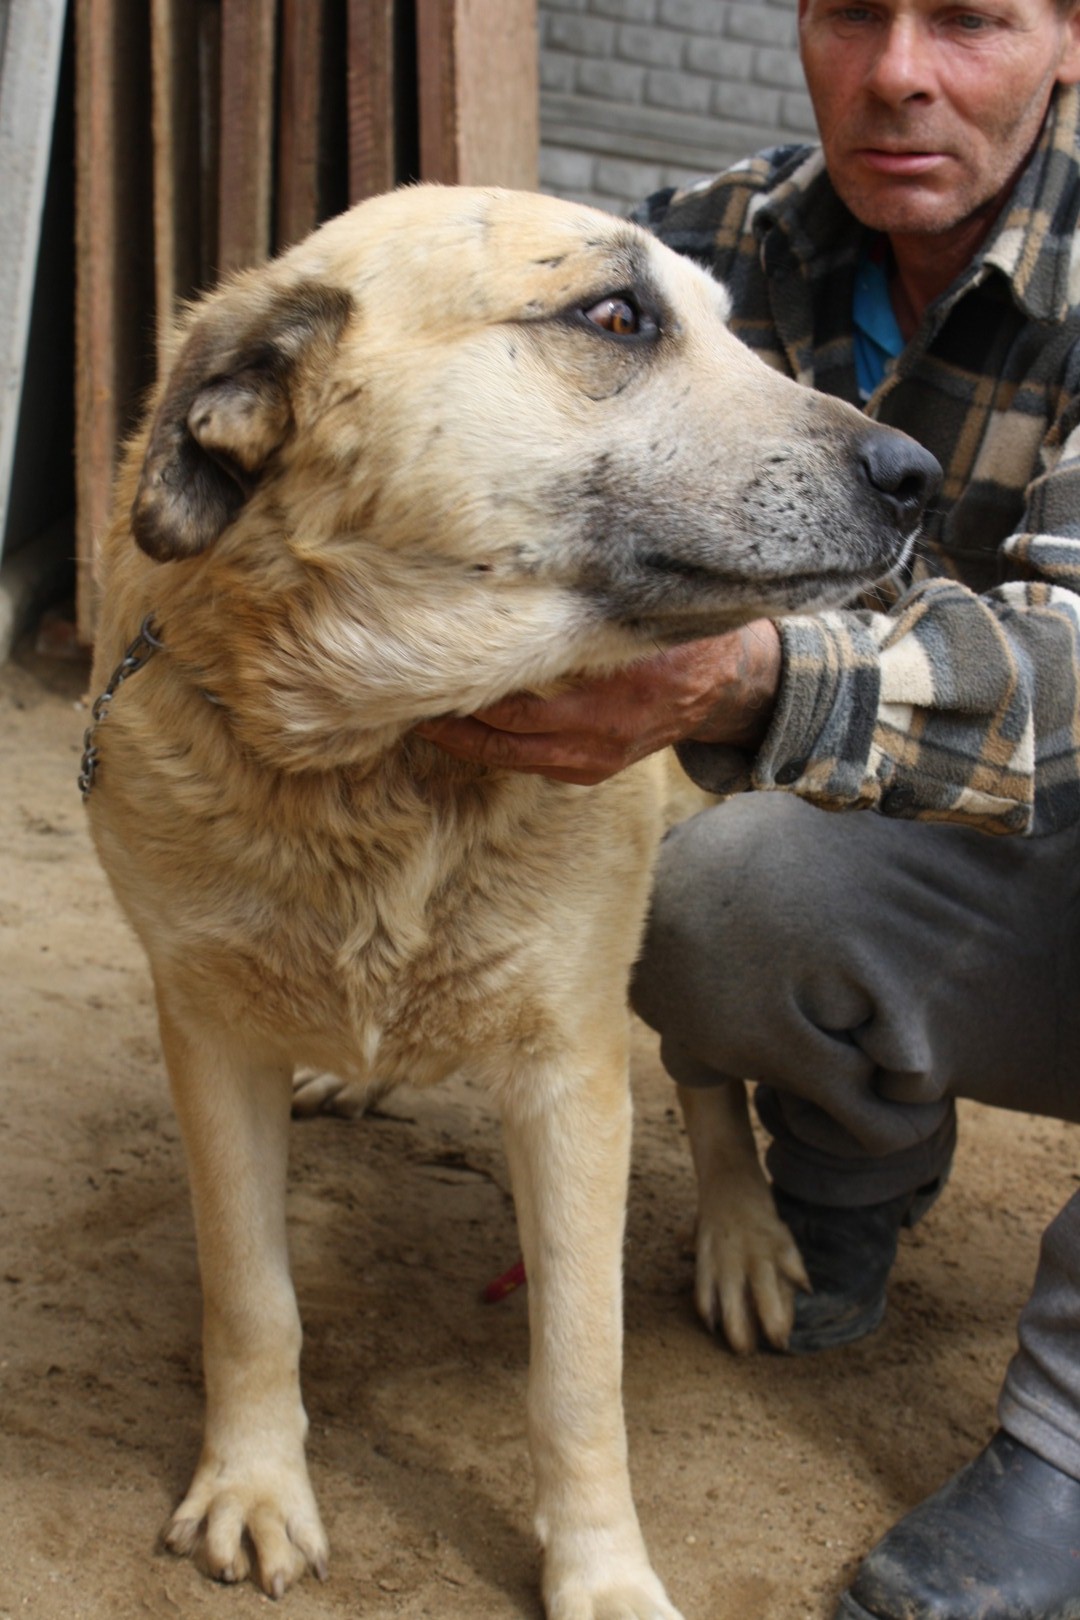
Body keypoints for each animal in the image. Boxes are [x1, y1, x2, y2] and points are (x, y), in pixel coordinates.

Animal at [84, 183, 939, 1613]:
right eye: (616, 316)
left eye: (729, 326)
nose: (918, 476)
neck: (387, 757)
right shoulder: (205, 1032)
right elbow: (251, 1300)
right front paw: (255, 1485)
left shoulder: (570, 1073)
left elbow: (579, 1379)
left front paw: (600, 1574)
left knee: (705, 1073)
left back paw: (744, 1237)